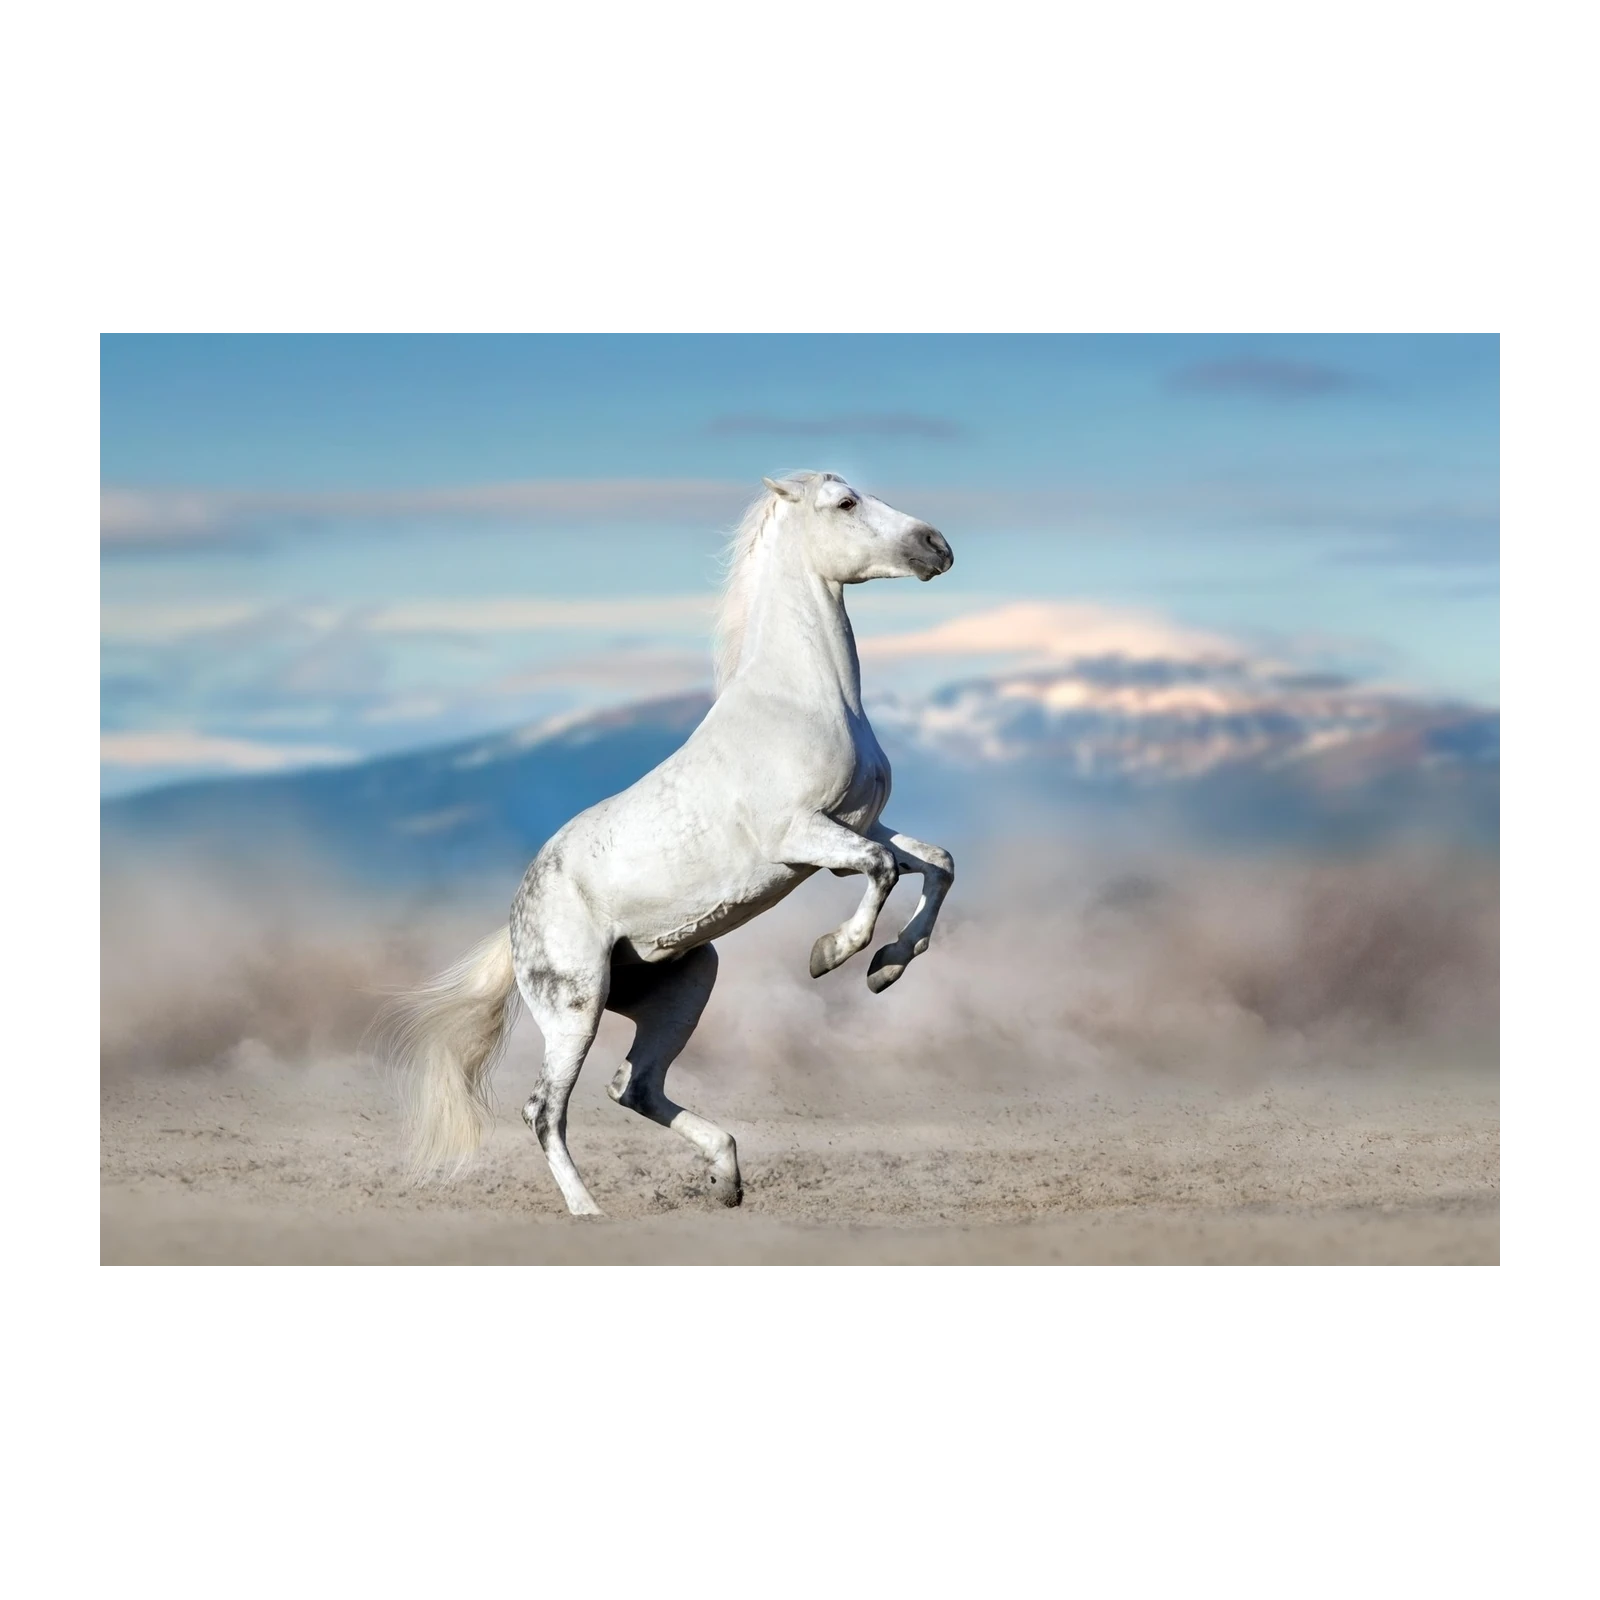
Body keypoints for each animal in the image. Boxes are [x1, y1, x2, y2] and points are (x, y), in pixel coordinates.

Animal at [378, 470, 956, 1216]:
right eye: (846, 504)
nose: (936, 546)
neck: (803, 700)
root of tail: (513, 926)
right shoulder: (805, 836)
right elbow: (884, 871)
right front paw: (831, 955)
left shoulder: (854, 826)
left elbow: (936, 864)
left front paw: (887, 967)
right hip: (575, 1006)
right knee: (545, 1109)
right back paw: (591, 1211)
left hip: (683, 984)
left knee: (634, 1085)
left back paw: (727, 1176)